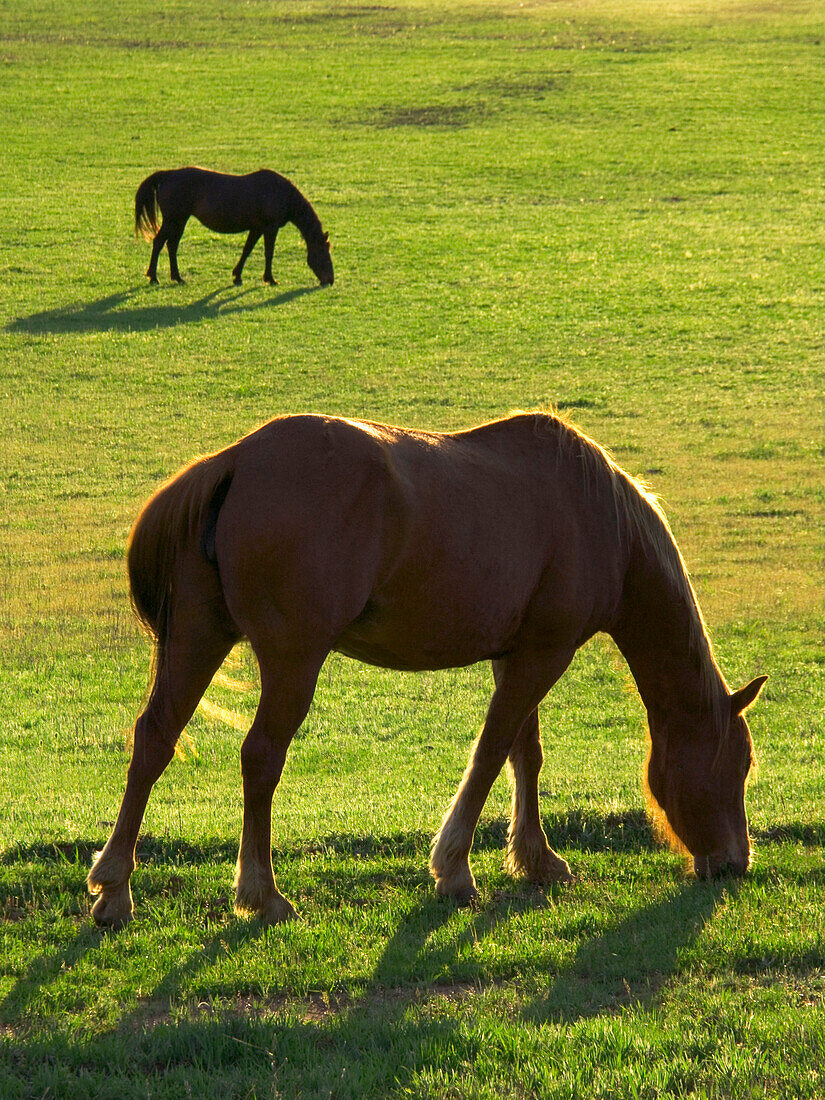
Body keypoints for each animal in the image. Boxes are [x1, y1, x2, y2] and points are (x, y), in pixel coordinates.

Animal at [89, 413, 770, 928]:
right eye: (735, 766)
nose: (736, 863)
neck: (598, 517)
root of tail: (236, 461)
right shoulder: (543, 655)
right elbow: (491, 753)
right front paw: (455, 869)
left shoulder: (516, 654)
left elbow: (524, 754)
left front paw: (535, 858)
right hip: (291, 660)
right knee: (259, 758)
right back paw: (262, 893)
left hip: (198, 639)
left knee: (154, 739)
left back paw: (115, 888)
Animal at [134, 165, 334, 288]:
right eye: (324, 254)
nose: (330, 280)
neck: (281, 193)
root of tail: (168, 175)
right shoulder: (270, 228)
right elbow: (268, 253)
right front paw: (270, 279)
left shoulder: (257, 228)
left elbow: (247, 250)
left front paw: (237, 276)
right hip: (173, 220)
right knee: (159, 242)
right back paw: (153, 277)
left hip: (179, 221)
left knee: (171, 245)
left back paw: (177, 277)